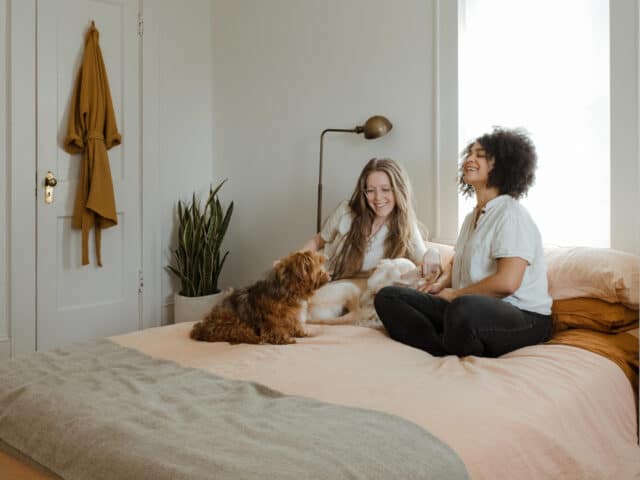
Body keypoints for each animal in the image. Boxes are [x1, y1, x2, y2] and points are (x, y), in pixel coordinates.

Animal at [190, 251, 330, 344]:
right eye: (319, 265)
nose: (330, 275)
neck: (289, 291)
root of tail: (202, 328)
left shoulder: (293, 317)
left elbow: (295, 326)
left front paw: (302, 333)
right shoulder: (270, 318)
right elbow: (275, 328)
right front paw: (285, 338)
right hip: (230, 321)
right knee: (238, 332)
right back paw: (256, 338)